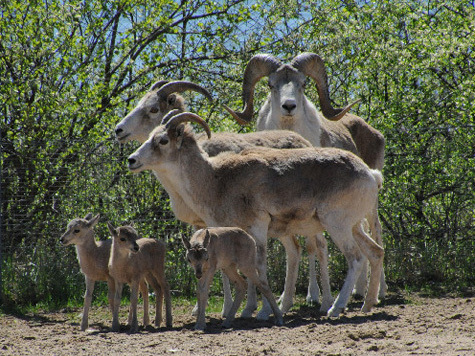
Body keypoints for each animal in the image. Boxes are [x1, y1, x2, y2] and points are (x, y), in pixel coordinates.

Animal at [128, 111, 384, 318]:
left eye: (163, 140)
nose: (132, 160)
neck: (216, 181)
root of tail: (370, 175)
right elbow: (246, 270)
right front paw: (247, 311)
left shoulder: (259, 228)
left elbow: (259, 267)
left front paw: (261, 312)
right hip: (354, 228)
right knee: (375, 253)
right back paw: (367, 305)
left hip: (337, 227)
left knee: (356, 258)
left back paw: (335, 308)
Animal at [225, 51, 388, 298]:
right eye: (271, 84)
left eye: (302, 83)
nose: (289, 106)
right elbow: (307, 245)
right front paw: (305, 295)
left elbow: (318, 245)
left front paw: (321, 297)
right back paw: (358, 291)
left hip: (369, 205)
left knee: (375, 232)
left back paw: (377, 293)